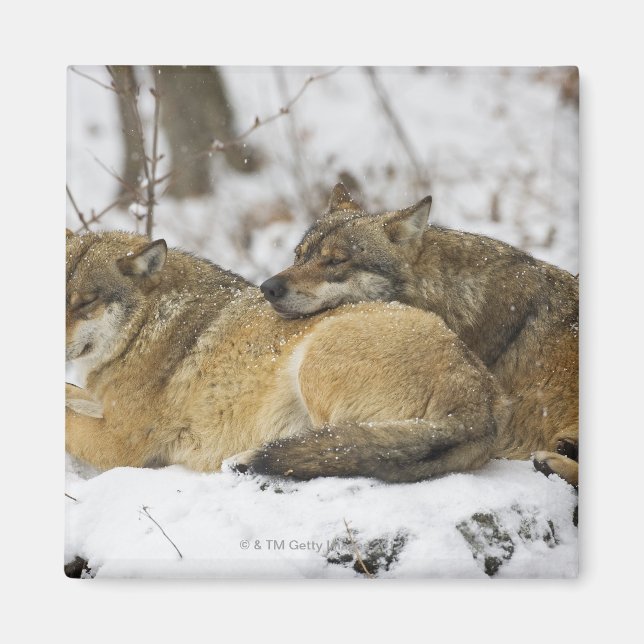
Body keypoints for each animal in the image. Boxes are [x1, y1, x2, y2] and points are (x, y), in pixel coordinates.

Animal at [66, 230, 509, 482]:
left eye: (85, 302)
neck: (147, 327)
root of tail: (481, 402)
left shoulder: (120, 445)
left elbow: (67, 421)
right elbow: (70, 394)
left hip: (315, 364)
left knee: (338, 451)